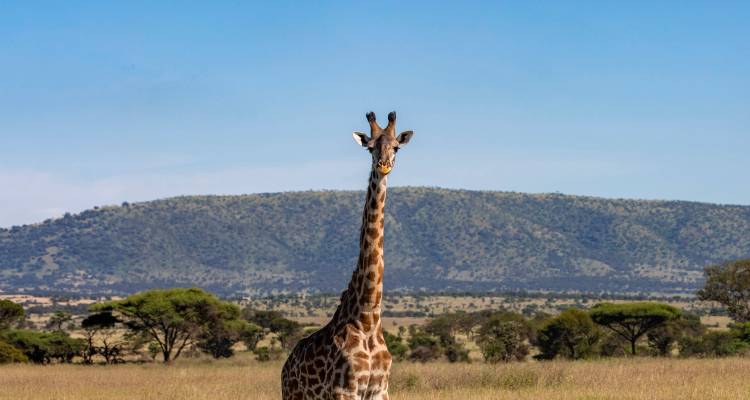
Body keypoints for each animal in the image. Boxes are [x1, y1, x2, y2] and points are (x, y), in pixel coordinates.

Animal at [281, 111, 414, 400]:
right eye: (370, 147)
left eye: (396, 147)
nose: (384, 166)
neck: (367, 316)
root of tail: (285, 366)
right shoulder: (344, 390)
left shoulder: (380, 390)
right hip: (292, 395)